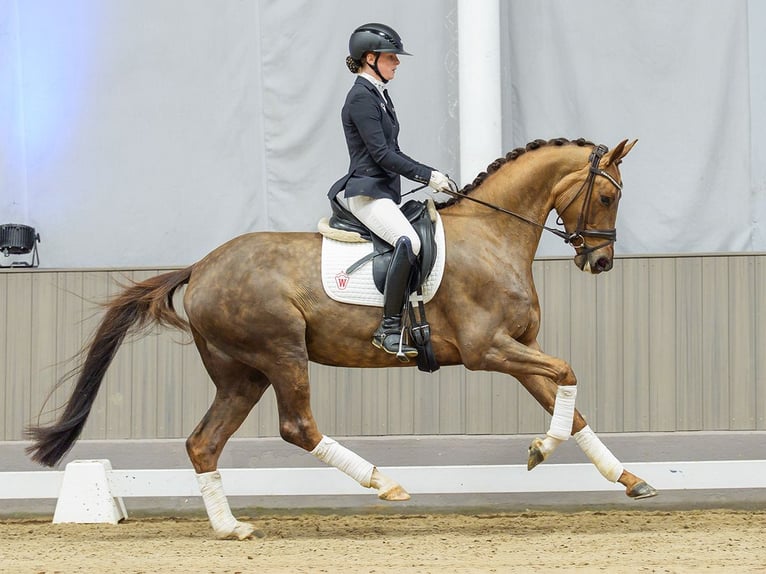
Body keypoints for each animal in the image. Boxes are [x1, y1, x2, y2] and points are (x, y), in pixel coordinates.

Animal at [26, 137, 657, 540]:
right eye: (608, 196)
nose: (600, 261)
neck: (492, 235)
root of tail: (201, 267)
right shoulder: (488, 351)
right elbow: (568, 373)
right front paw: (541, 450)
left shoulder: (520, 352)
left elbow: (569, 405)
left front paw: (629, 480)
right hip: (281, 354)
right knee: (297, 427)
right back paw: (386, 484)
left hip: (241, 374)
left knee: (204, 443)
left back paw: (231, 528)